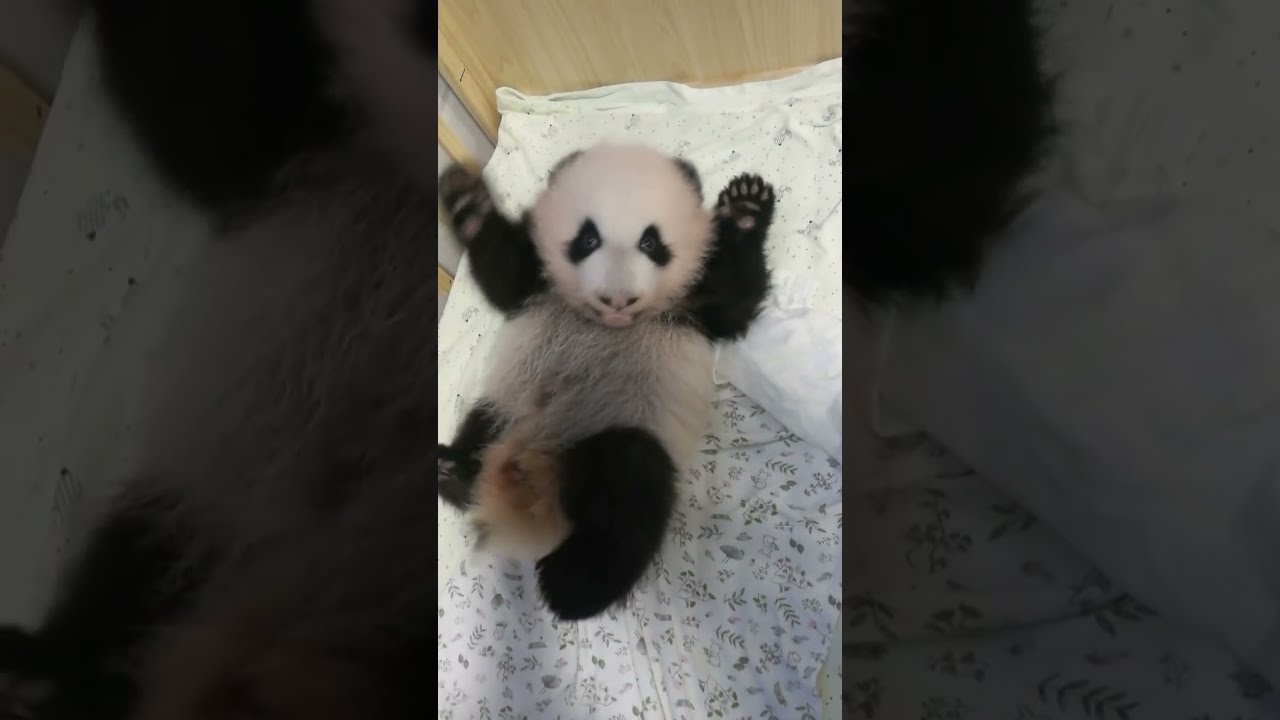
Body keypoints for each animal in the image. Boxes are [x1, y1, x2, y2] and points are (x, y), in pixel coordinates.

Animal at [436, 143, 776, 620]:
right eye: (588, 239)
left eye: (651, 243)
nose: (617, 298)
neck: (609, 323)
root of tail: (541, 485)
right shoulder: (540, 286)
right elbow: (506, 277)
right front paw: (467, 200)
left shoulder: (693, 304)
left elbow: (733, 301)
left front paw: (745, 209)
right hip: (511, 408)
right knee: (483, 427)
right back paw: (455, 471)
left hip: (621, 430)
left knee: (629, 491)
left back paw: (573, 585)